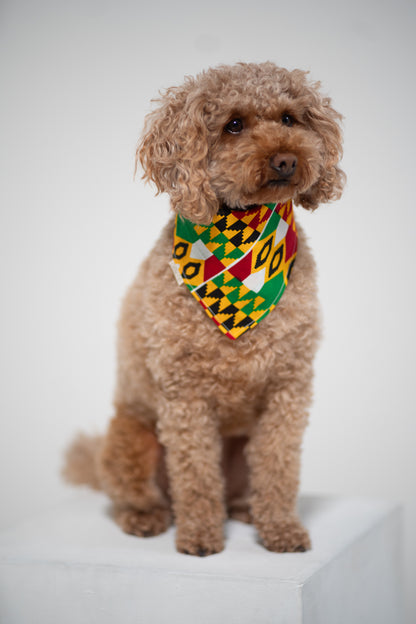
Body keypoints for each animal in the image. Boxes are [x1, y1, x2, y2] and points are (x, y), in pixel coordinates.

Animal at [64, 62, 344, 556]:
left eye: (290, 118)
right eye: (233, 124)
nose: (286, 159)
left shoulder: (287, 388)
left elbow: (279, 466)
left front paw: (282, 530)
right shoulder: (185, 396)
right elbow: (194, 475)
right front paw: (199, 536)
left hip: (240, 449)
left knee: (241, 485)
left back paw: (246, 510)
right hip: (130, 439)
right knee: (134, 492)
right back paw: (147, 517)